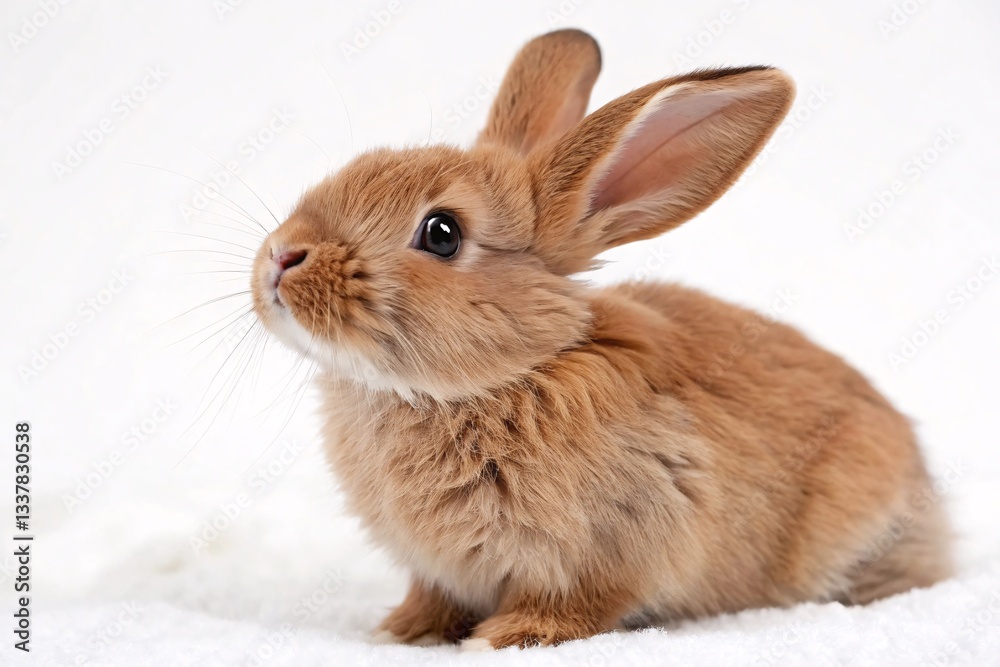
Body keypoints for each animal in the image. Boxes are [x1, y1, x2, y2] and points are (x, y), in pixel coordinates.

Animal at [249, 29, 953, 649]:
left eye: (442, 233)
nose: (283, 255)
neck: (506, 374)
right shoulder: (437, 571)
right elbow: (433, 597)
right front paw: (404, 631)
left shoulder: (613, 542)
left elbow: (576, 602)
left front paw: (509, 636)